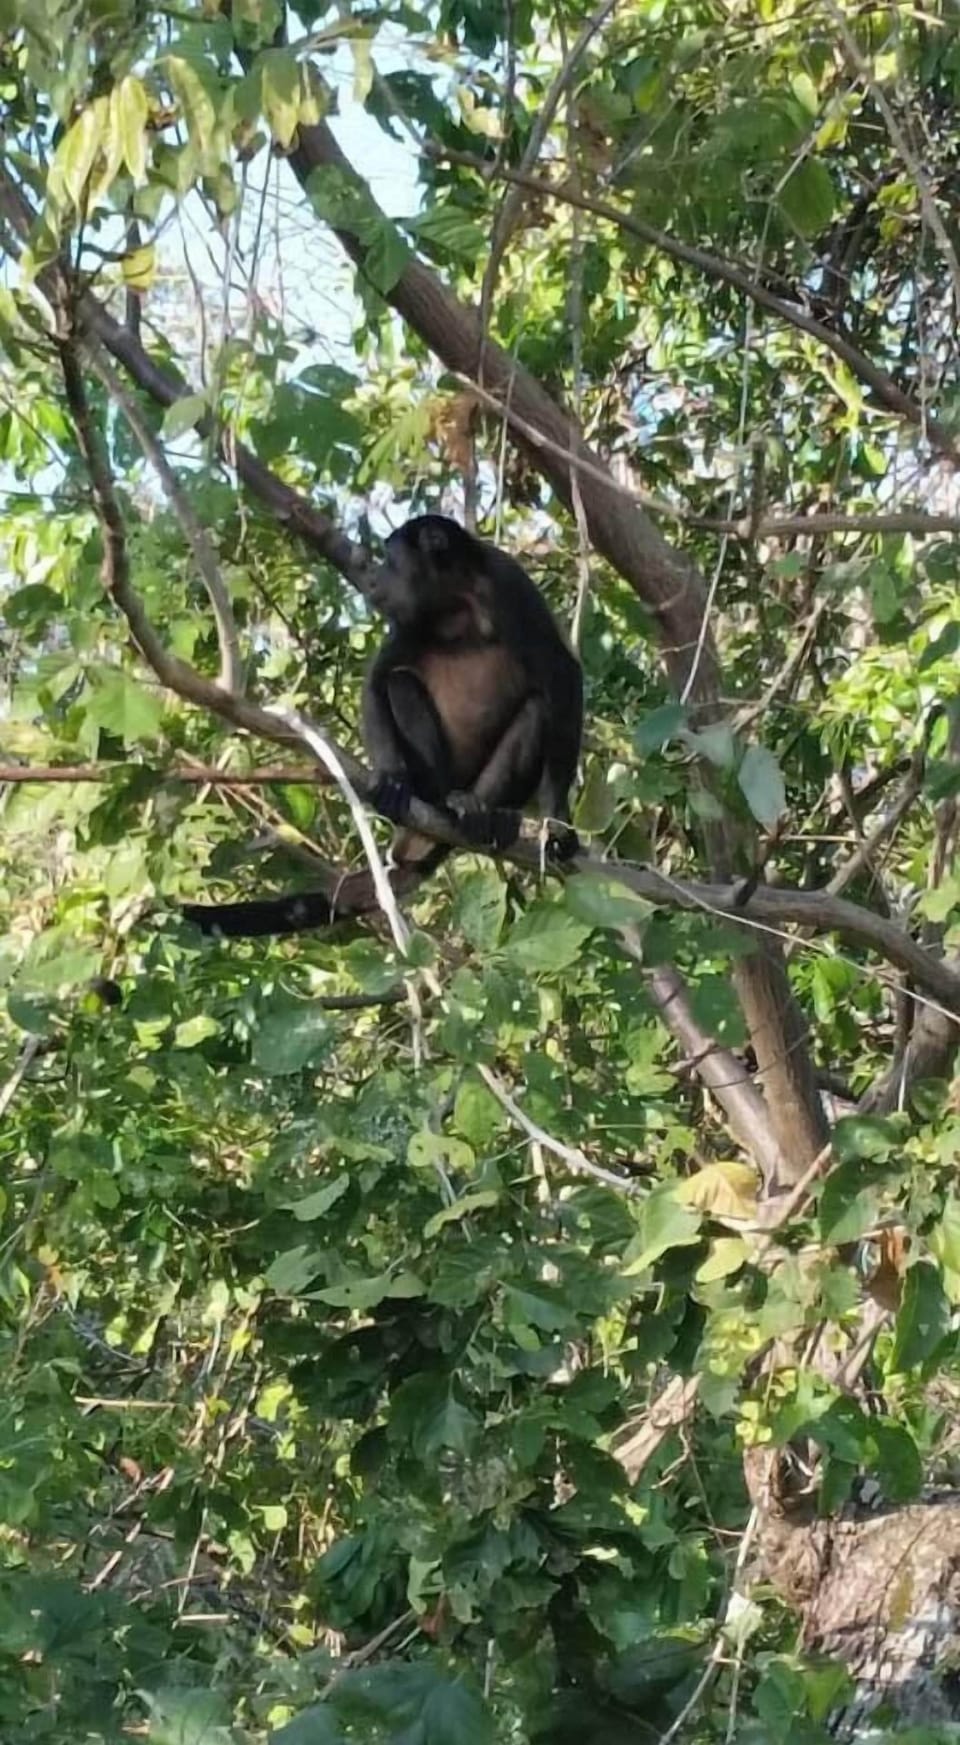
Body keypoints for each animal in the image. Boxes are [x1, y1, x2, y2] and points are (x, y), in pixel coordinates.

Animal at [181, 515, 583, 939]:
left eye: (391, 563)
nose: (377, 583)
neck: (454, 602)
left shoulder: (510, 584)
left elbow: (562, 675)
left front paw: (558, 821)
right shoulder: (406, 618)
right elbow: (377, 681)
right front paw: (391, 776)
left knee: (537, 709)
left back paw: (486, 810)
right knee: (400, 683)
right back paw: (438, 799)